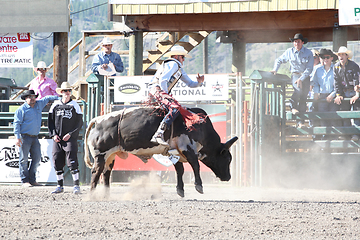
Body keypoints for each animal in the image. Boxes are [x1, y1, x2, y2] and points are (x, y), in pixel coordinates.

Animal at [83, 107, 238, 197]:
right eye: (228, 159)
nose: (229, 177)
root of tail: (98, 120)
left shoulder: (175, 151)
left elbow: (180, 170)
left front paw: (180, 190)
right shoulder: (187, 147)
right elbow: (195, 165)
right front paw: (198, 186)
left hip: (110, 156)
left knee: (106, 173)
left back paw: (106, 195)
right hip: (100, 155)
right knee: (96, 172)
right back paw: (92, 194)